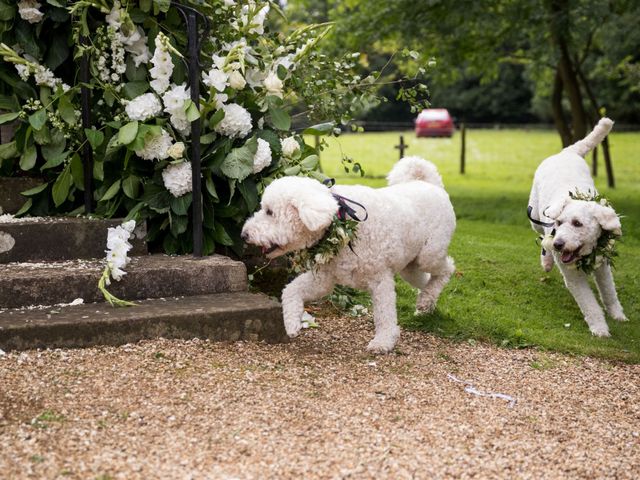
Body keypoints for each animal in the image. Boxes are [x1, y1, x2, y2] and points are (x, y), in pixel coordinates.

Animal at [240, 158, 456, 352]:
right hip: (410, 267)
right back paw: (426, 303)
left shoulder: (381, 280)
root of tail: (431, 184)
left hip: (429, 255)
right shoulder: (323, 279)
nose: (244, 234)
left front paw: (383, 342)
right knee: (427, 281)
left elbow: (384, 315)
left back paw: (427, 299)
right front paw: (292, 323)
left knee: (447, 269)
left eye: (270, 212)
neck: (340, 220)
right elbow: (291, 290)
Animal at [528, 118, 624, 338]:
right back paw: (546, 261)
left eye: (577, 223)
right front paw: (600, 328)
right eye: (559, 223)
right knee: (541, 239)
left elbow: (609, 291)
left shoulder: (603, 264)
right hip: (535, 217)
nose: (558, 244)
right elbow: (589, 304)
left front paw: (617, 314)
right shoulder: (573, 276)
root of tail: (568, 152)